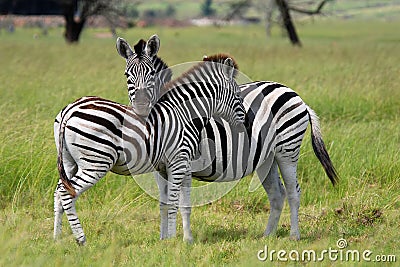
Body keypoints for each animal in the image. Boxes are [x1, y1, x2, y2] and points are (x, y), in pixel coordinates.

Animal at [53, 47, 245, 245]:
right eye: (238, 96)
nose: (244, 123)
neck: (184, 114)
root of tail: (70, 109)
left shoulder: (174, 166)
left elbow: (175, 204)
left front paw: (177, 239)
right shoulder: (178, 163)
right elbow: (174, 202)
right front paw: (172, 239)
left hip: (69, 162)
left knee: (59, 191)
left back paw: (56, 238)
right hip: (95, 161)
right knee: (67, 193)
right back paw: (81, 239)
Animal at [119, 36, 338, 242]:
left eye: (151, 74)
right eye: (127, 75)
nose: (141, 107)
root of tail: (293, 93)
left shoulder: (184, 164)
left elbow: (182, 203)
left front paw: (184, 239)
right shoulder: (160, 167)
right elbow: (164, 203)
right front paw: (164, 239)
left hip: (288, 150)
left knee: (293, 192)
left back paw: (294, 236)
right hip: (267, 158)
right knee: (277, 194)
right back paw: (267, 236)